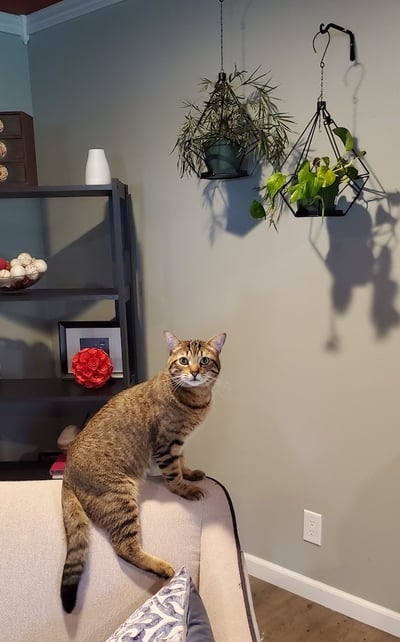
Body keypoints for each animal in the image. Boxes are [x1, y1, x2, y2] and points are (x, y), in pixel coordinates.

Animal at [59, 330, 225, 608]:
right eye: (183, 361)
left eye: (203, 360)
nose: (193, 372)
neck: (196, 400)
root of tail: (66, 473)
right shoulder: (166, 443)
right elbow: (173, 474)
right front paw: (185, 488)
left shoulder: (178, 444)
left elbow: (182, 462)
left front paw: (190, 473)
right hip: (120, 496)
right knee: (123, 547)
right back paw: (160, 566)